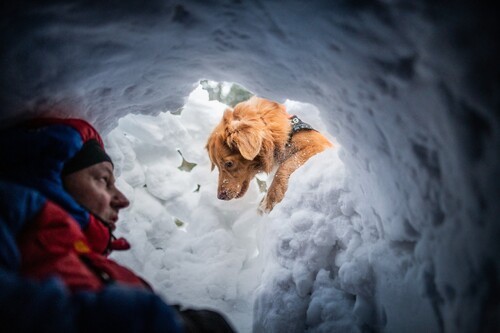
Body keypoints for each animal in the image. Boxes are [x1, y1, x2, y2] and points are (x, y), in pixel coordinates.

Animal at [205, 96, 334, 213]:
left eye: (229, 164)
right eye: (217, 166)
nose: (220, 197)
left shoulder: (319, 144)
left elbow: (286, 165)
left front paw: (272, 198)